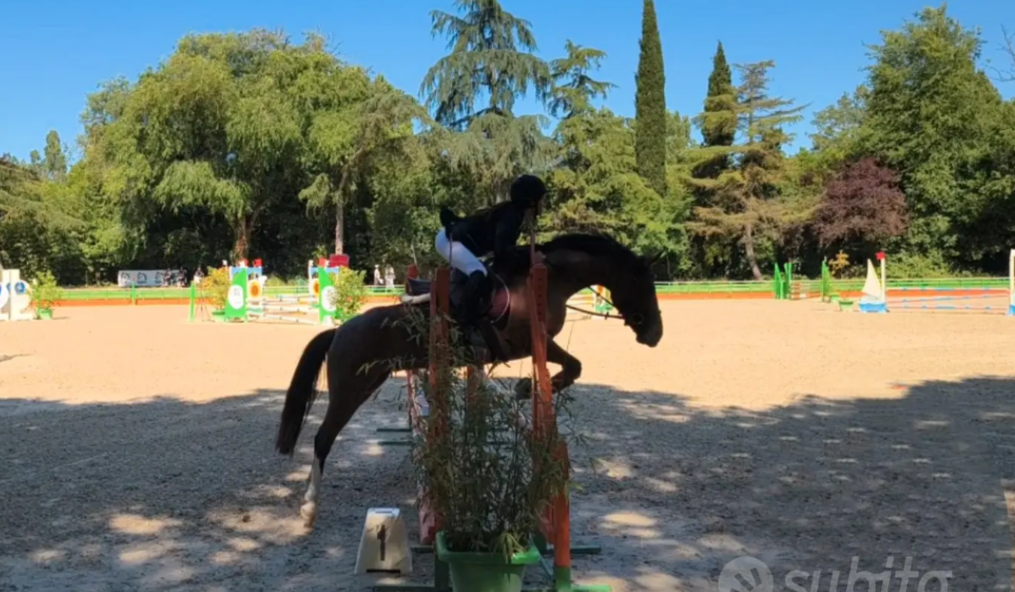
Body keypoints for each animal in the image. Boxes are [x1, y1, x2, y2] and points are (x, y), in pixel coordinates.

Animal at [274, 232, 664, 527]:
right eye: (643, 285)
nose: (655, 335)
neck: (549, 280)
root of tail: (339, 331)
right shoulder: (528, 342)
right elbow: (573, 366)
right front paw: (529, 387)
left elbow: (574, 367)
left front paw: (529, 388)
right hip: (351, 391)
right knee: (323, 438)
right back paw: (309, 508)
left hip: (371, 382)